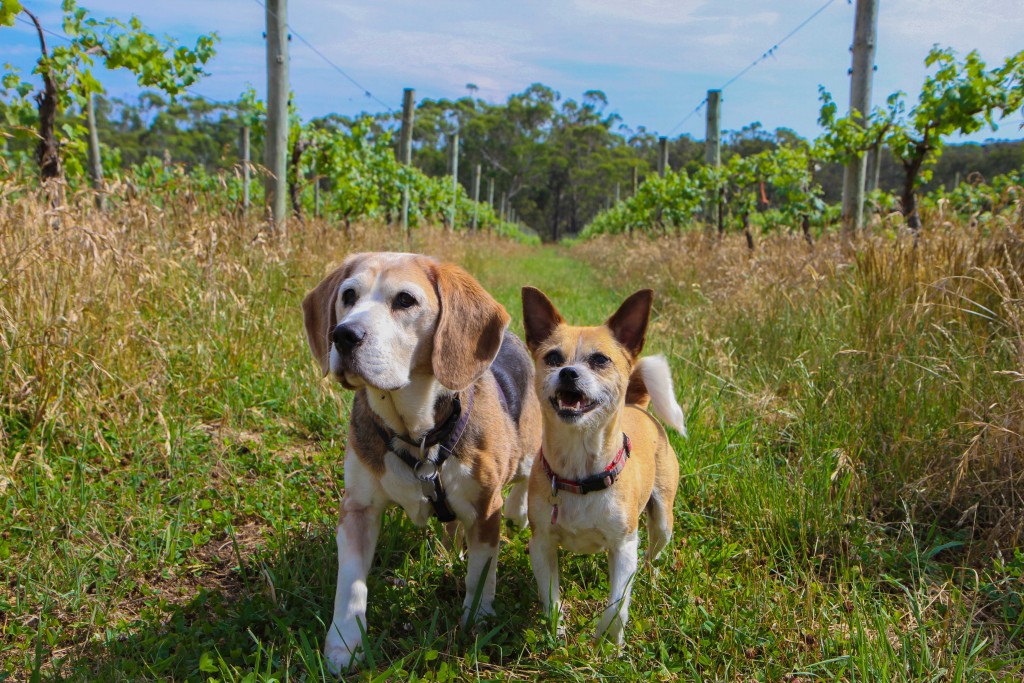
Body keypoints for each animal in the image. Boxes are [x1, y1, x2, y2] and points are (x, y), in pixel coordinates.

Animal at [301, 253, 544, 675]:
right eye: (348, 296)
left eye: (405, 300)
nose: (343, 335)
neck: (417, 435)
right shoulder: (358, 509)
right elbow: (350, 584)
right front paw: (344, 644)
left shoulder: (486, 509)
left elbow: (481, 573)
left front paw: (476, 621)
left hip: (528, 454)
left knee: (524, 485)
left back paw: (522, 511)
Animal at [524, 286, 684, 647]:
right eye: (552, 358)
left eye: (600, 360)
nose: (568, 372)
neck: (580, 470)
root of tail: (637, 406)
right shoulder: (541, 545)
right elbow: (550, 595)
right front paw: (557, 633)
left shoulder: (624, 546)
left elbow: (617, 603)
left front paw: (608, 640)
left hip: (662, 521)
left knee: (652, 554)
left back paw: (652, 579)